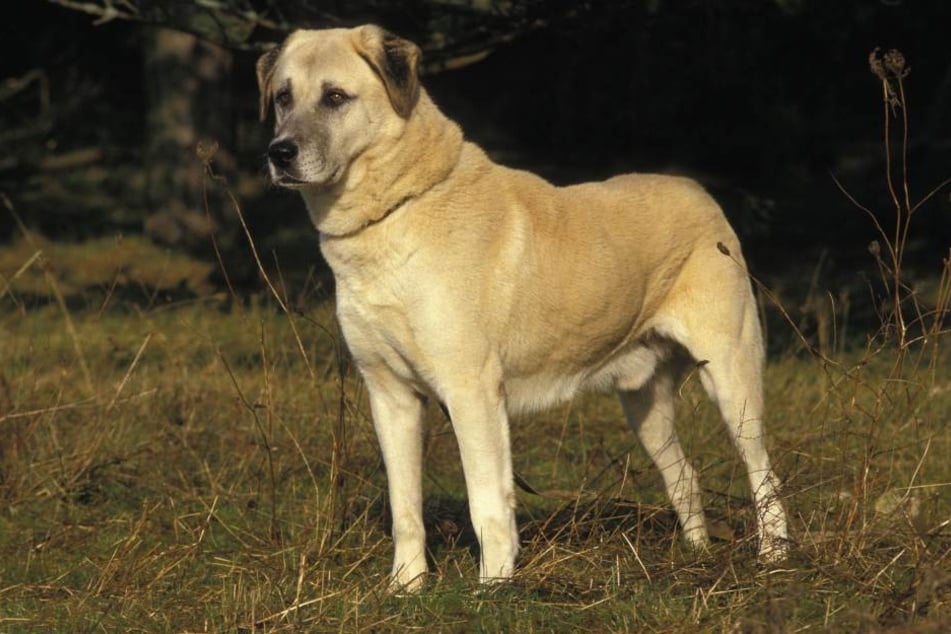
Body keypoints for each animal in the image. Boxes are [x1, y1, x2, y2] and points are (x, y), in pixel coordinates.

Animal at [258, 23, 788, 588]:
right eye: (283, 97)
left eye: (335, 97)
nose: (279, 152)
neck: (398, 208)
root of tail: (700, 194)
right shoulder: (391, 396)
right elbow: (405, 508)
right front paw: (405, 587)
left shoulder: (471, 391)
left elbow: (487, 501)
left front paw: (493, 587)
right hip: (644, 403)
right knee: (685, 477)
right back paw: (696, 554)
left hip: (731, 380)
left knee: (764, 474)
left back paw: (774, 557)